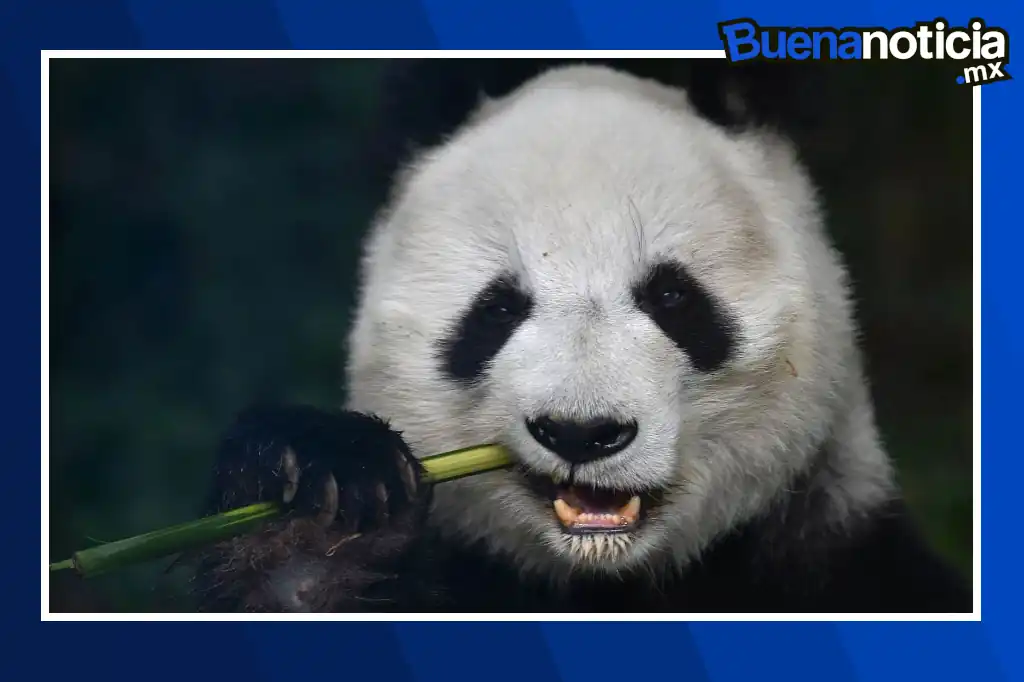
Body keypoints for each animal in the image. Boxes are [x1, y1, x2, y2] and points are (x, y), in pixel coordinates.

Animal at [194, 60, 971, 613]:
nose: (581, 432)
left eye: (671, 296)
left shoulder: (837, 559)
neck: (605, 578)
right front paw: (312, 515)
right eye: (498, 310)